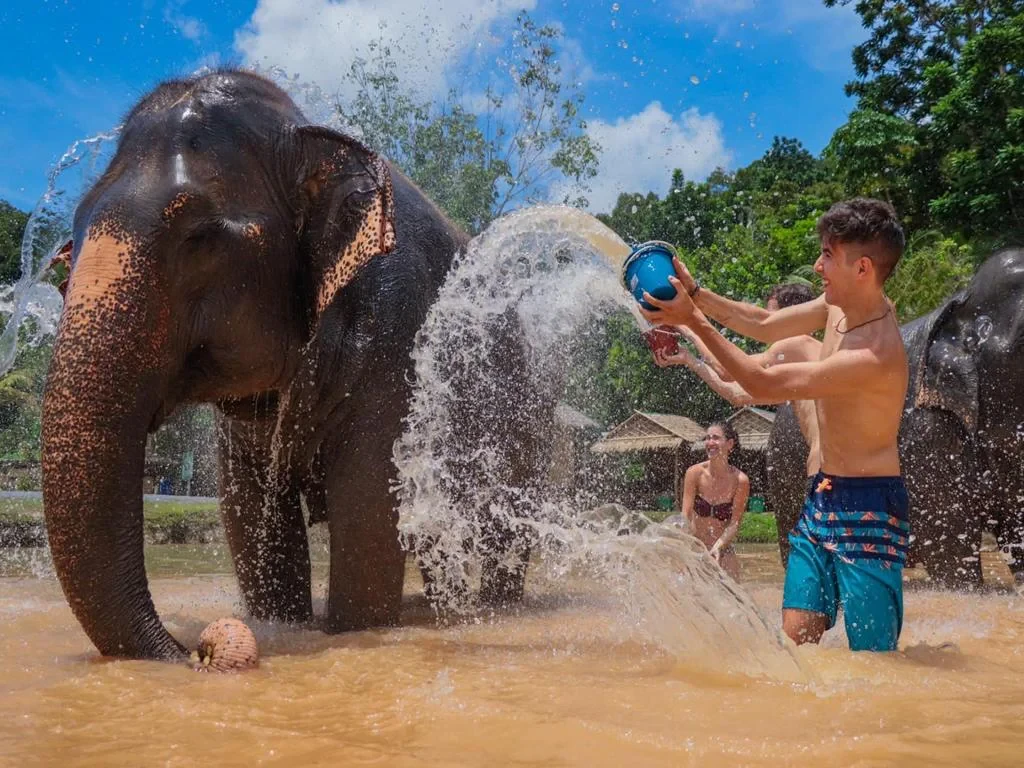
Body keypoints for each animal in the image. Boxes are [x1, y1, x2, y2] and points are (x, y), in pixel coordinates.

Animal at [40, 69, 547, 661]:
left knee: (500, 532)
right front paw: (283, 623)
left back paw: (492, 611)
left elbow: (369, 515)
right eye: (69, 244)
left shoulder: (396, 331)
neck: (307, 136)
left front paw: (356, 629)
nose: (193, 650)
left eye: (200, 238)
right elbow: (252, 518)